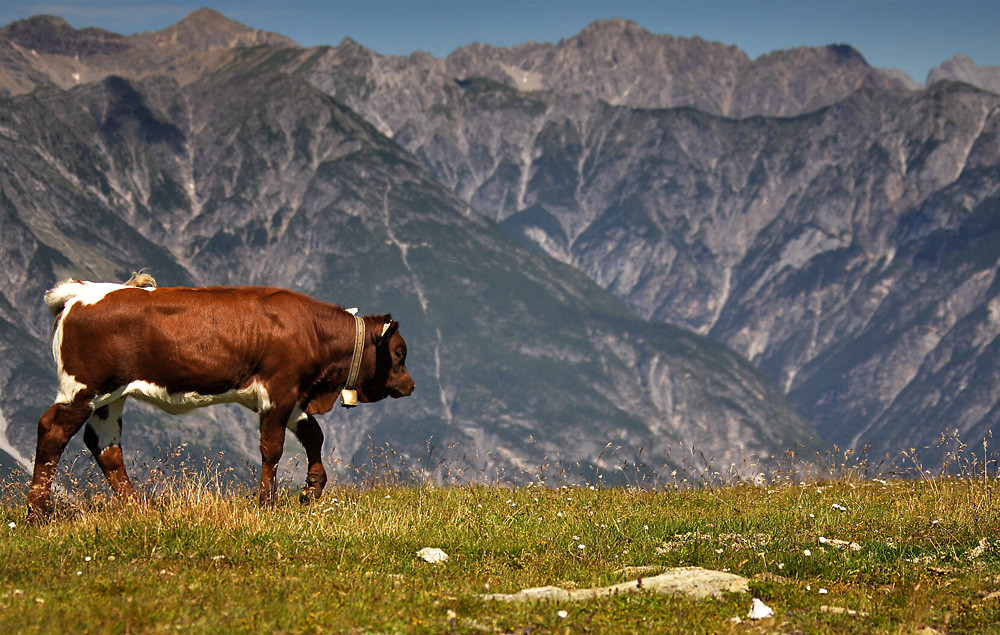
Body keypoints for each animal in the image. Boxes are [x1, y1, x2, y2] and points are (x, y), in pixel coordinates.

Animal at [27, 278, 412, 520]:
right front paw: (267, 502)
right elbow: (273, 448)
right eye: (398, 352)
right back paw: (37, 513)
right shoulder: (279, 390)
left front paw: (311, 488)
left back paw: (139, 508)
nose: (410, 386)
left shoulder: (292, 396)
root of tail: (83, 292)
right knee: (52, 432)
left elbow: (313, 434)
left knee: (105, 445)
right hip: (82, 390)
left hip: (109, 398)